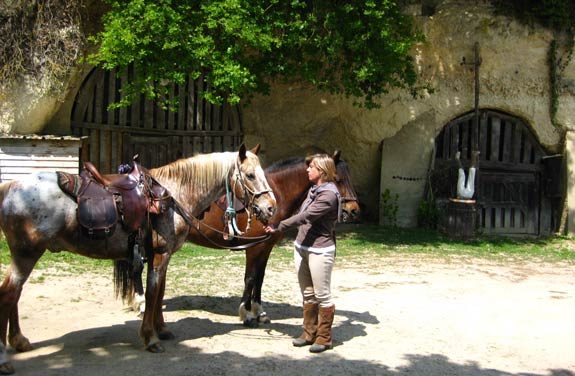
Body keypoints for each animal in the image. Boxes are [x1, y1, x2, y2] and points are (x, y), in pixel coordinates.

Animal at [0, 144, 276, 374]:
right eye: (250, 175)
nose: (271, 207)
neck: (174, 194)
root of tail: (10, 187)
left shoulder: (161, 255)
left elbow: (161, 291)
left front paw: (162, 330)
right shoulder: (161, 253)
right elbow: (153, 292)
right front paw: (150, 338)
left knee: (14, 293)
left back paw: (20, 341)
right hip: (26, 254)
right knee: (9, 294)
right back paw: (5, 358)